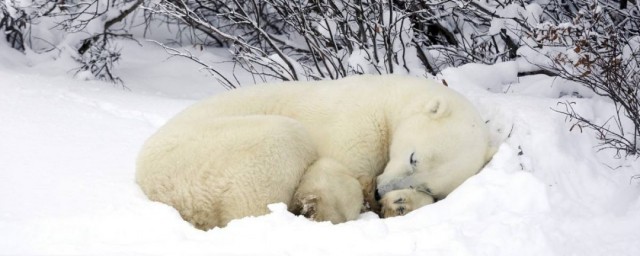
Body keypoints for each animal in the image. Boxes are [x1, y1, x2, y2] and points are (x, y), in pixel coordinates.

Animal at [136, 74, 496, 230]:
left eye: (428, 185)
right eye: (413, 157)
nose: (382, 192)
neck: (390, 99)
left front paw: (400, 204)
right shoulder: (356, 122)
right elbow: (334, 170)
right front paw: (326, 207)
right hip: (204, 155)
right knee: (280, 144)